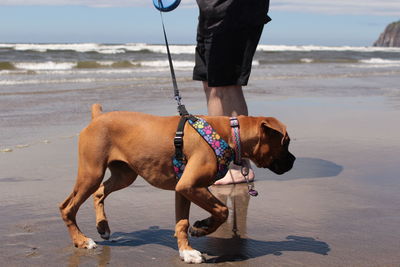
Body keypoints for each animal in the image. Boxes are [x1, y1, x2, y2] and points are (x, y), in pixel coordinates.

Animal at [60, 104, 296, 264]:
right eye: (286, 143)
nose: (293, 160)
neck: (230, 133)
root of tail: (98, 117)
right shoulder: (189, 186)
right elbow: (222, 210)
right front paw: (202, 228)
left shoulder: (184, 189)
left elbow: (182, 222)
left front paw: (186, 250)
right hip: (91, 173)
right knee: (67, 207)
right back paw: (81, 240)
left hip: (124, 175)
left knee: (99, 193)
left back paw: (103, 227)